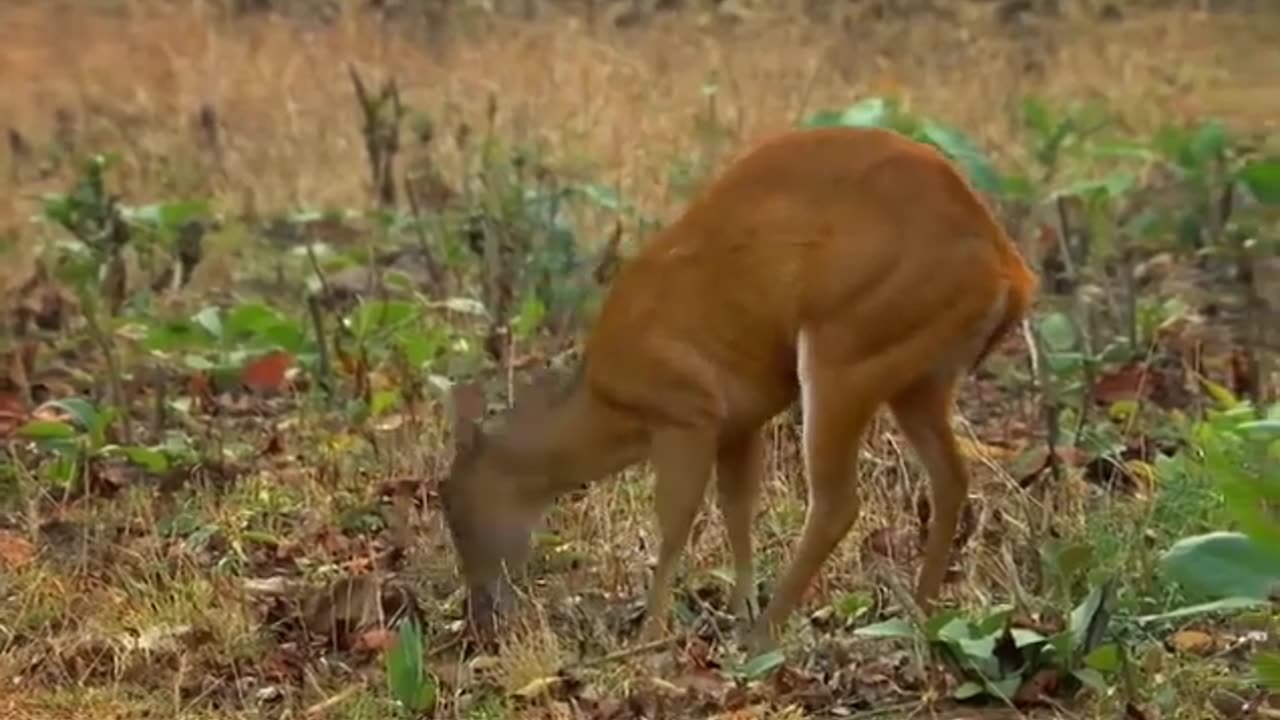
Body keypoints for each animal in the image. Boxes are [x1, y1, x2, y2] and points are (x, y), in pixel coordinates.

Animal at [440, 122, 1039, 650]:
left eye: (455, 511)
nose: (480, 620)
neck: (610, 401)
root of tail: (1010, 269)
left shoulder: (689, 409)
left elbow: (676, 521)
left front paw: (653, 631)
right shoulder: (740, 419)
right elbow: (737, 507)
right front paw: (738, 603)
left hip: (847, 346)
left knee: (839, 502)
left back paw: (766, 634)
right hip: (918, 375)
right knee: (951, 479)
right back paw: (917, 613)